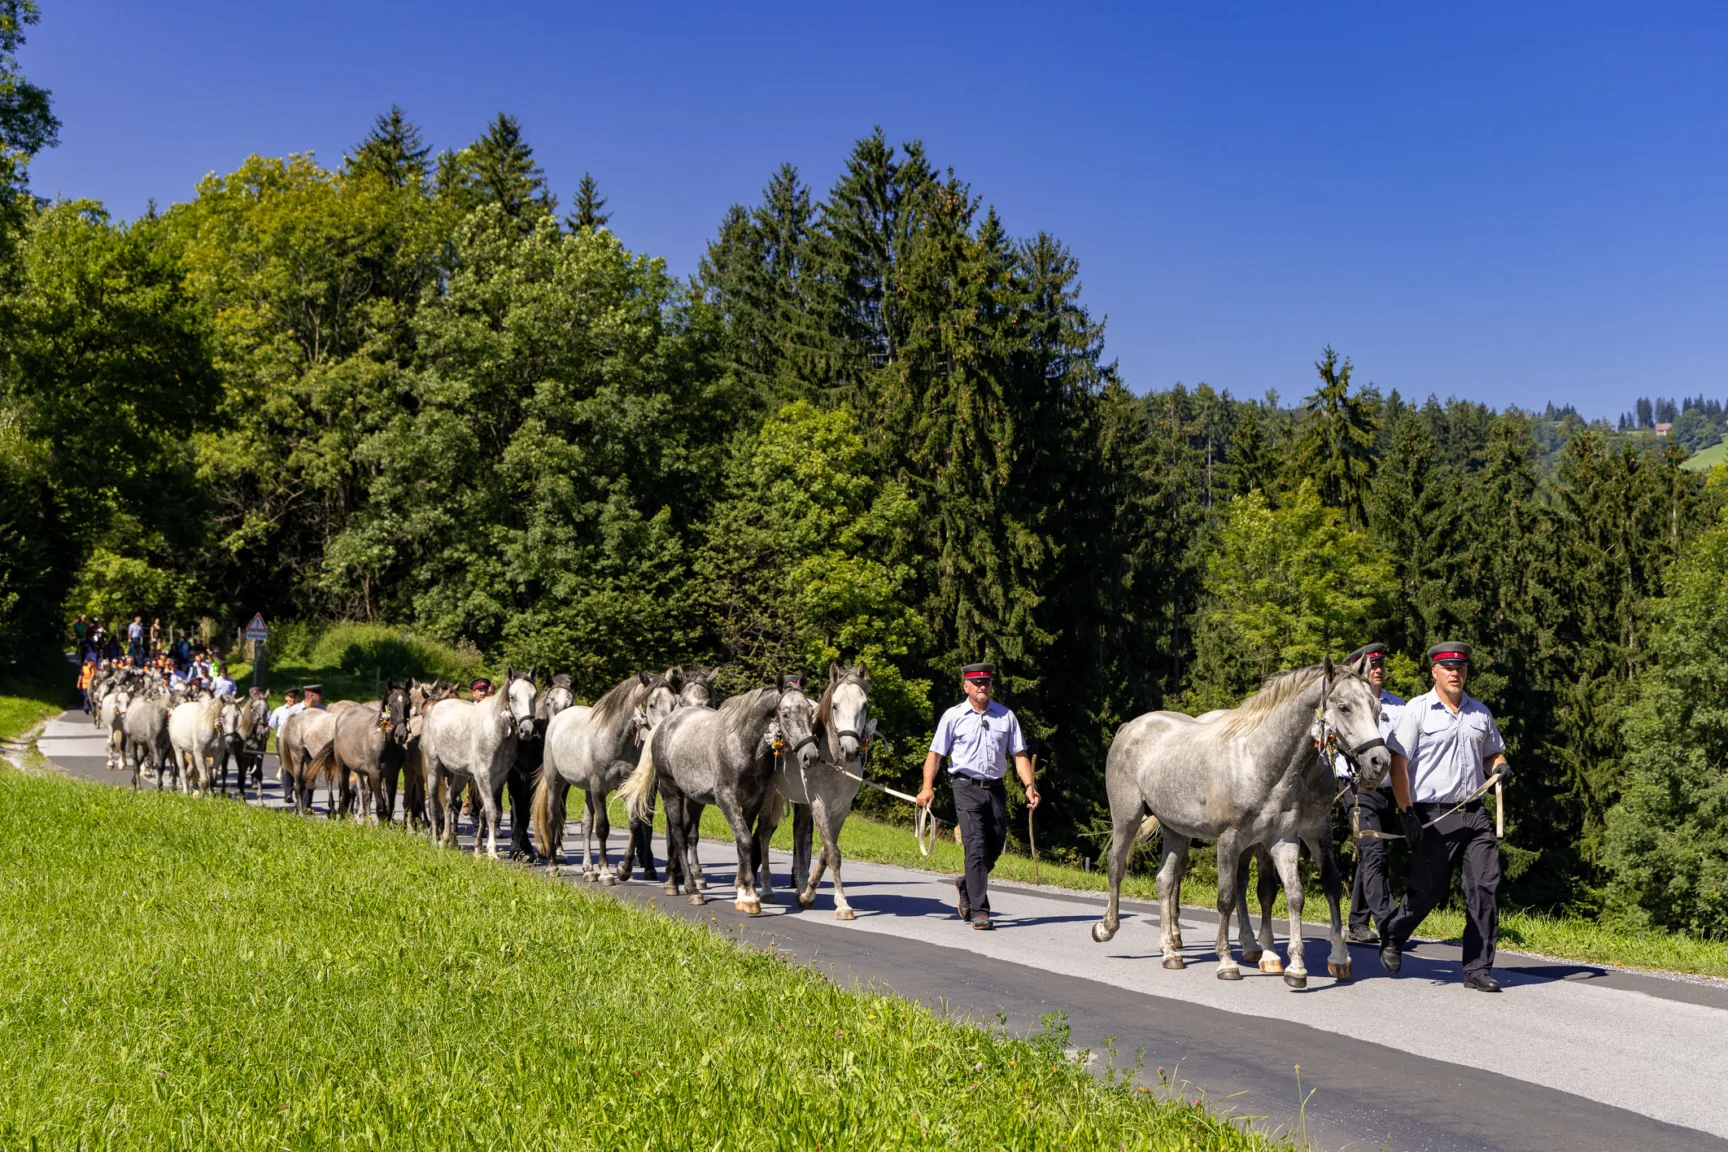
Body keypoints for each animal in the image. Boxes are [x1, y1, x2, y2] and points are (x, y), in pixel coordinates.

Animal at [528, 670, 677, 877]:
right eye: (652, 703)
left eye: (673, 703)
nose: (665, 731)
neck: (615, 739)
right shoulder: (598, 789)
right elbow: (602, 827)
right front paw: (606, 872)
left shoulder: (625, 787)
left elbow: (634, 824)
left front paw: (624, 868)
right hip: (556, 783)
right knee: (553, 818)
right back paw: (552, 865)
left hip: (587, 790)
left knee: (585, 825)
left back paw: (589, 869)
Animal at [618, 680, 819, 911]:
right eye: (785, 714)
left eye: (810, 711)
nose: (810, 755)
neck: (741, 743)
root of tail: (663, 724)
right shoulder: (726, 799)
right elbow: (745, 840)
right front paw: (749, 896)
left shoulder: (753, 802)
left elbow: (744, 840)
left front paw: (743, 889)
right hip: (671, 791)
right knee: (678, 835)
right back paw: (692, 890)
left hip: (694, 799)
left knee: (686, 833)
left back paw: (672, 882)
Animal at [1092, 663, 1389, 987]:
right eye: (1344, 707)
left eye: (1376, 708)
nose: (1380, 761)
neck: (1259, 760)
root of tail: (1130, 726)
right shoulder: (1230, 839)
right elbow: (1226, 898)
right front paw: (1227, 962)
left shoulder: (1286, 839)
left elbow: (1295, 894)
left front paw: (1297, 967)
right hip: (1127, 818)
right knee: (1117, 865)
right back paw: (1107, 928)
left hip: (1177, 830)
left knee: (1166, 880)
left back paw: (1171, 951)